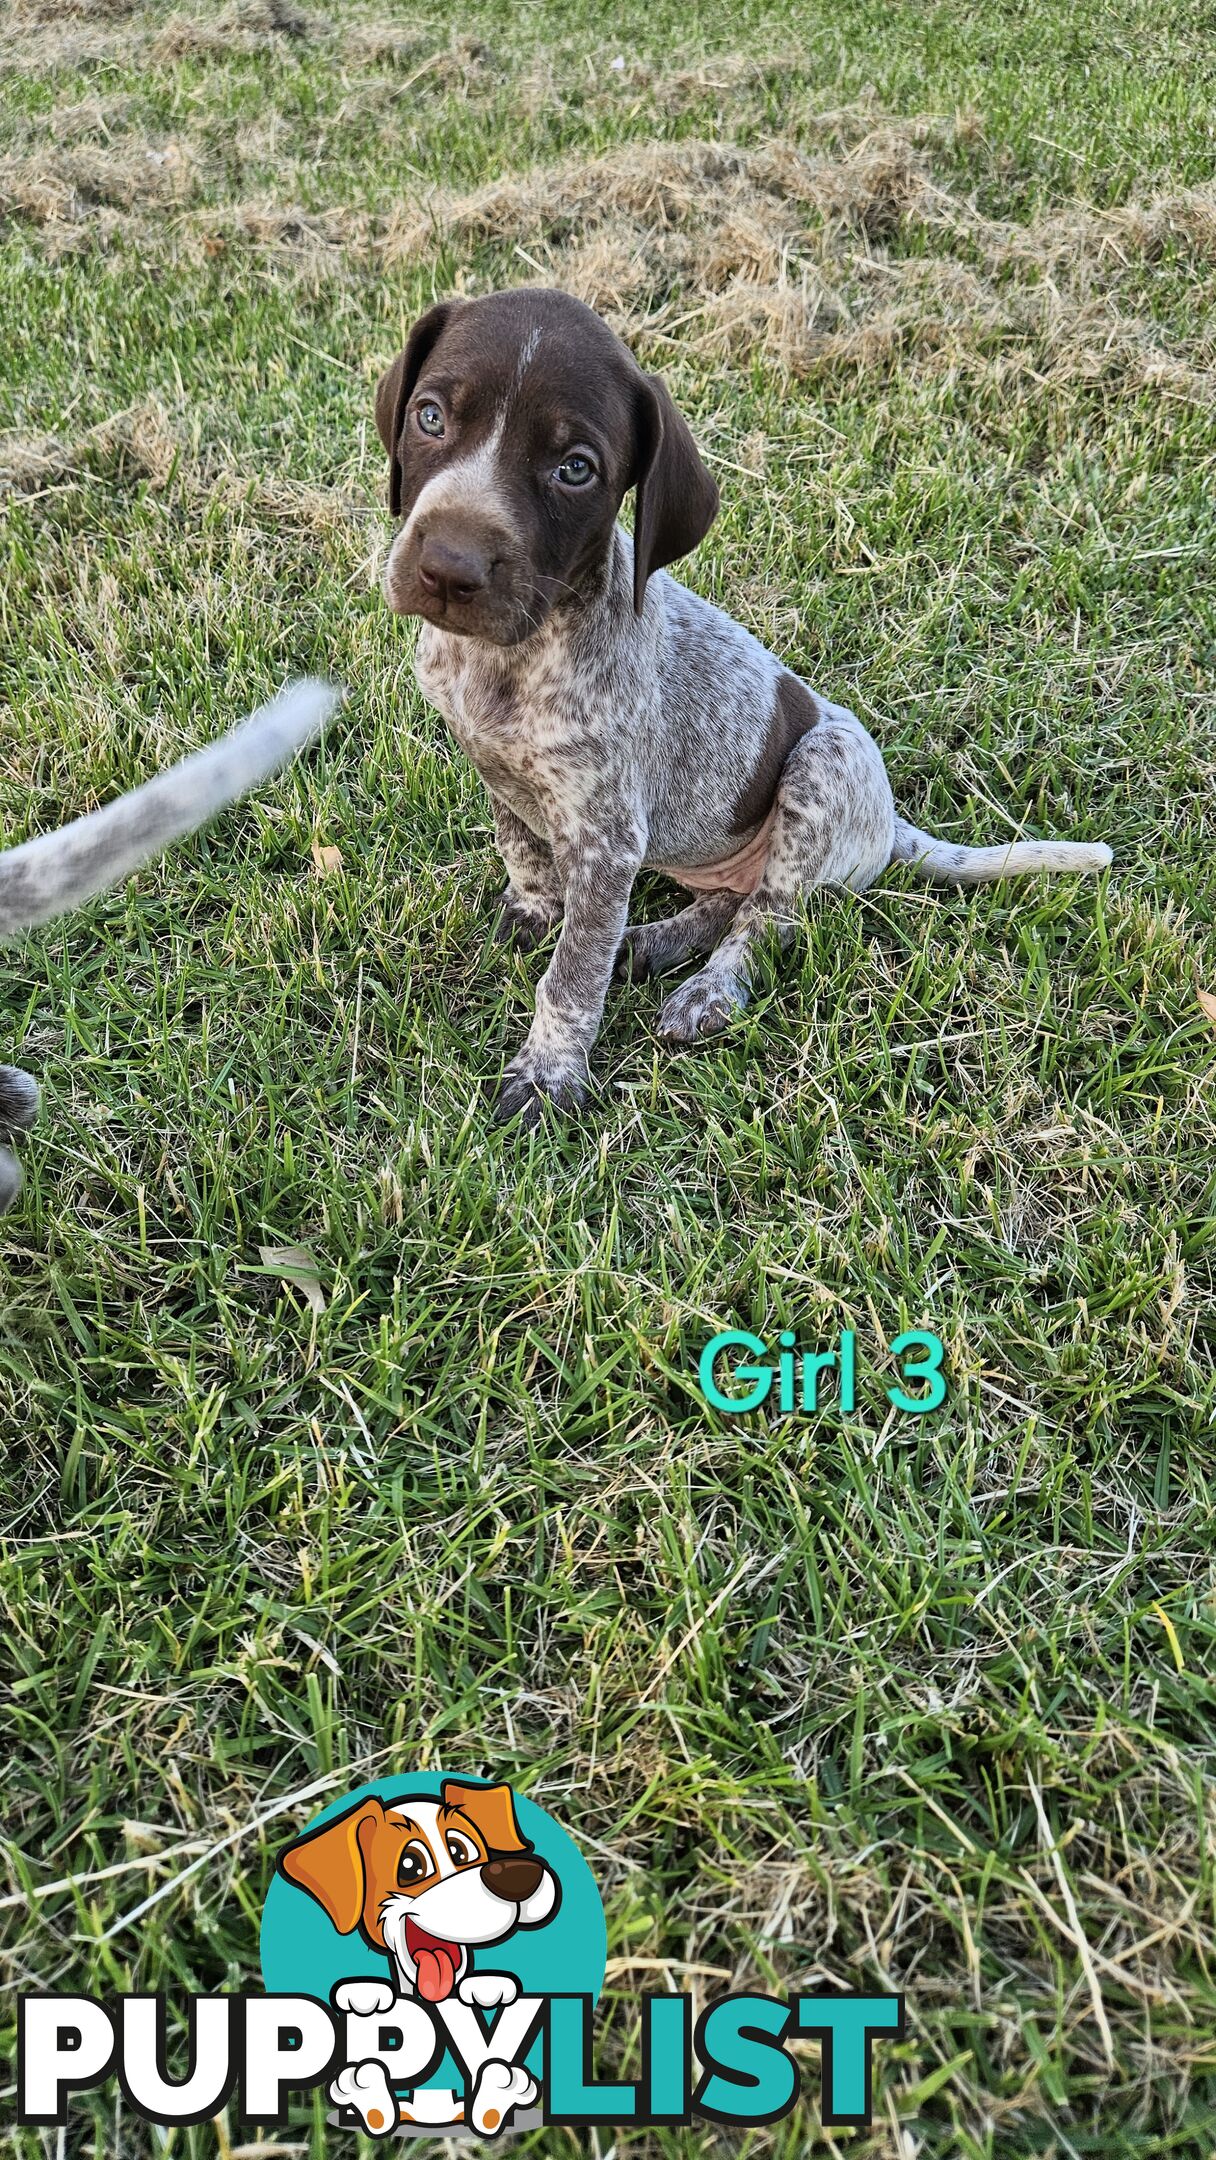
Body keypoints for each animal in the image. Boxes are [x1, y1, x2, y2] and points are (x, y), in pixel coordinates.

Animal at [375, 287, 1114, 1131]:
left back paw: (707, 991)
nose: (448, 569)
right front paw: (533, 910)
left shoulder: (606, 841)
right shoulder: (499, 772)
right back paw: (651, 942)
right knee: (728, 901)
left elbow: (572, 974)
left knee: (768, 917)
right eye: (431, 417)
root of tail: (889, 826)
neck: (506, 662)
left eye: (575, 469)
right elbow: (522, 850)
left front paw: (549, 1075)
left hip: (821, 769)